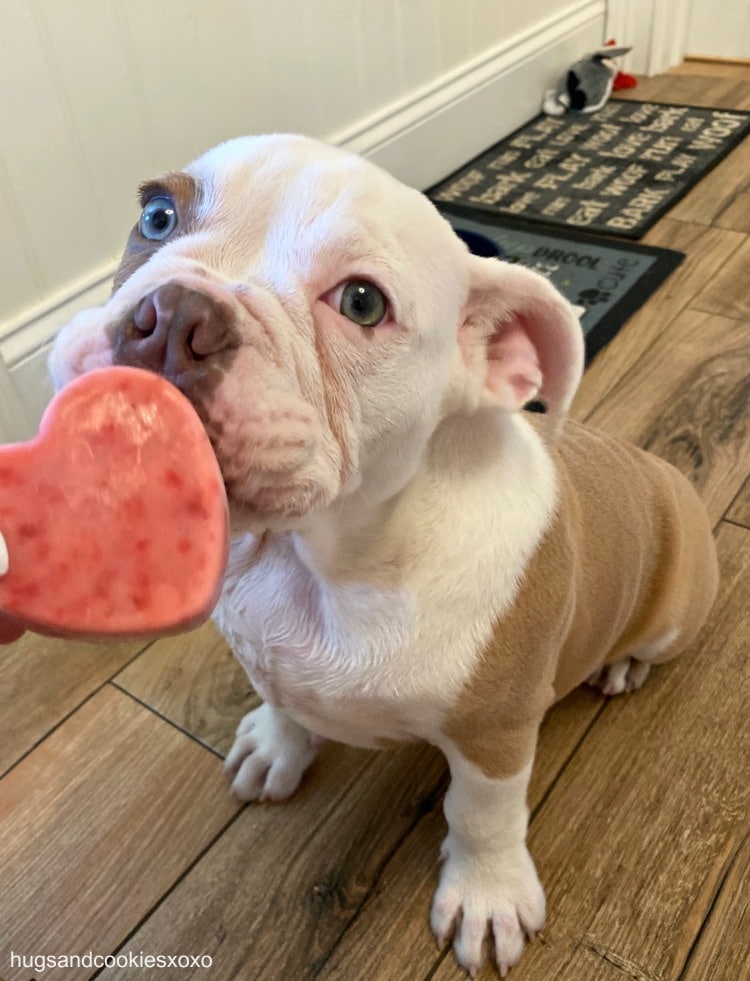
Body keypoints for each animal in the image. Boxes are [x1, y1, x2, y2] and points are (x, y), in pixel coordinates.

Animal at [48, 134, 724, 976]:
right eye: (157, 216)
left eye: (362, 303)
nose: (174, 315)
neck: (320, 558)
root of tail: (663, 471)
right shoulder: (265, 649)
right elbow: (280, 697)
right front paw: (276, 744)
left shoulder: (495, 734)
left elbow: (482, 814)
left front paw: (488, 894)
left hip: (675, 603)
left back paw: (624, 663)